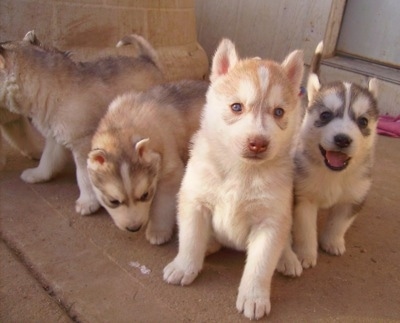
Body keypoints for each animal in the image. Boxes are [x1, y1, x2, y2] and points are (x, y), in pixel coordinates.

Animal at [0, 31, 164, 215]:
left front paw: (87, 203)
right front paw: (38, 174)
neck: (47, 88)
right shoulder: (54, 138)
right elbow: (47, 159)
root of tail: (147, 60)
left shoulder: (82, 146)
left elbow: (83, 176)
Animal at [86, 81, 206, 246]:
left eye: (145, 195)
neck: (124, 125)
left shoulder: (170, 173)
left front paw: (158, 231)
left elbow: (162, 205)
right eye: (113, 201)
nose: (134, 228)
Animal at [162, 39, 304, 320]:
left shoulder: (271, 221)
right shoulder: (195, 201)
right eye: (236, 107)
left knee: (286, 240)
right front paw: (184, 266)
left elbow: (260, 265)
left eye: (279, 112)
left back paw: (288, 258)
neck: (242, 171)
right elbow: (191, 238)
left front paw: (254, 297)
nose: (258, 143)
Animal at [276, 41, 380, 278]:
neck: (335, 175)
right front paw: (306, 254)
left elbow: (339, 223)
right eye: (325, 115)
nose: (342, 139)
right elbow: (306, 230)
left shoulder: (354, 197)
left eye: (363, 121)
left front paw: (332, 242)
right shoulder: (304, 197)